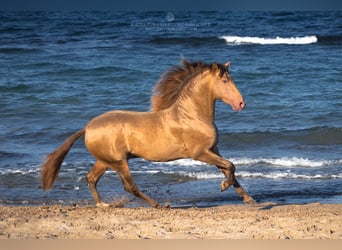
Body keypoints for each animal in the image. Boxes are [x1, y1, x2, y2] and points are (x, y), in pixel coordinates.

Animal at [41, 60, 255, 207]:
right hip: (119, 162)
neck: (191, 116)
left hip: (104, 161)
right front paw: (223, 186)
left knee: (91, 179)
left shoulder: (213, 150)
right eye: (225, 80)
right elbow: (231, 166)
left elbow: (229, 169)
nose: (241, 103)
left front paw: (248, 198)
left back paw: (103, 204)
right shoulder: (200, 153)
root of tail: (87, 127)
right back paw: (158, 205)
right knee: (128, 186)